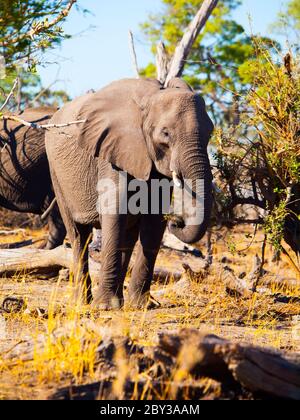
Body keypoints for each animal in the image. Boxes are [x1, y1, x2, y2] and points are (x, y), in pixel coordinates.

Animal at [45, 79, 213, 308]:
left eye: (210, 133)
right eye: (166, 134)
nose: (177, 222)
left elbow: (154, 220)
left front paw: (141, 306)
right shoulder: (111, 153)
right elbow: (115, 211)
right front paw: (105, 307)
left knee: (127, 238)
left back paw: (118, 302)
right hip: (56, 172)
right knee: (79, 235)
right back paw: (83, 303)